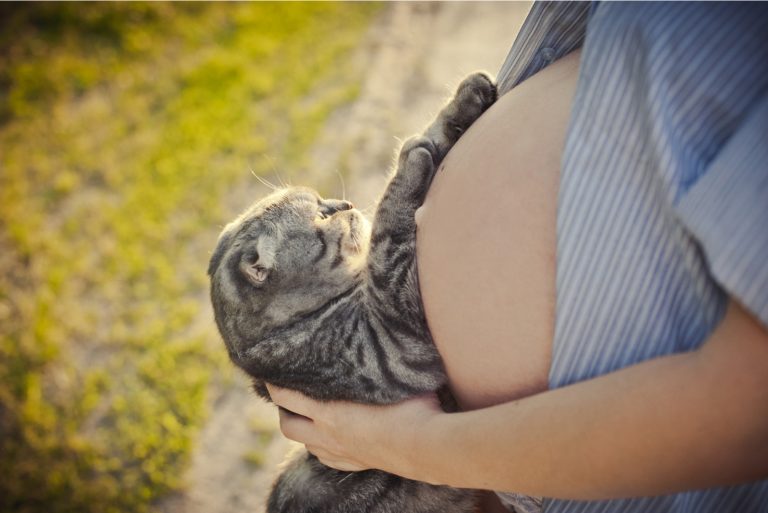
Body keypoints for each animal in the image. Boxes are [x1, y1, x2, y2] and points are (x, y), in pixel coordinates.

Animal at [210, 73, 498, 512]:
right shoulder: (392, 344)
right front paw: (412, 160)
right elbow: (388, 225)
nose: (343, 203)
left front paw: (460, 106)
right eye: (322, 214)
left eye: (324, 199)